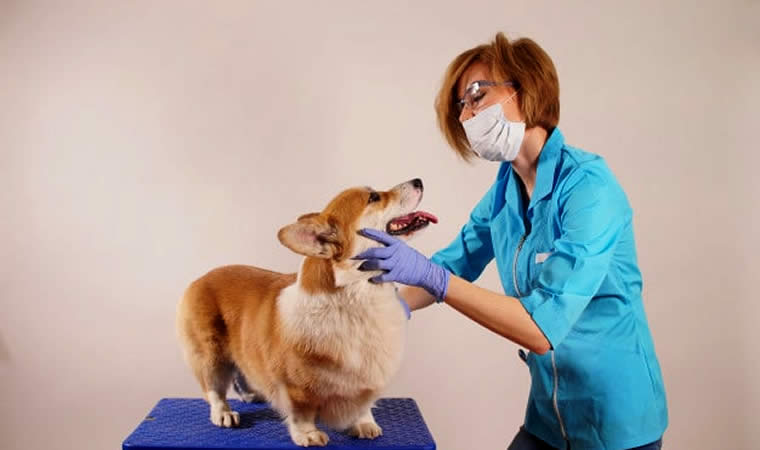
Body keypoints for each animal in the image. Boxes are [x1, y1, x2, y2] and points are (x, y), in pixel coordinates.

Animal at [177, 178, 436, 444]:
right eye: (373, 198)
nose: (418, 181)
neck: (359, 294)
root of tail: (201, 278)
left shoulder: (365, 376)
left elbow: (363, 405)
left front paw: (364, 423)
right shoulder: (295, 386)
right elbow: (302, 411)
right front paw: (309, 435)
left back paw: (253, 394)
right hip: (211, 353)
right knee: (214, 388)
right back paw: (224, 413)